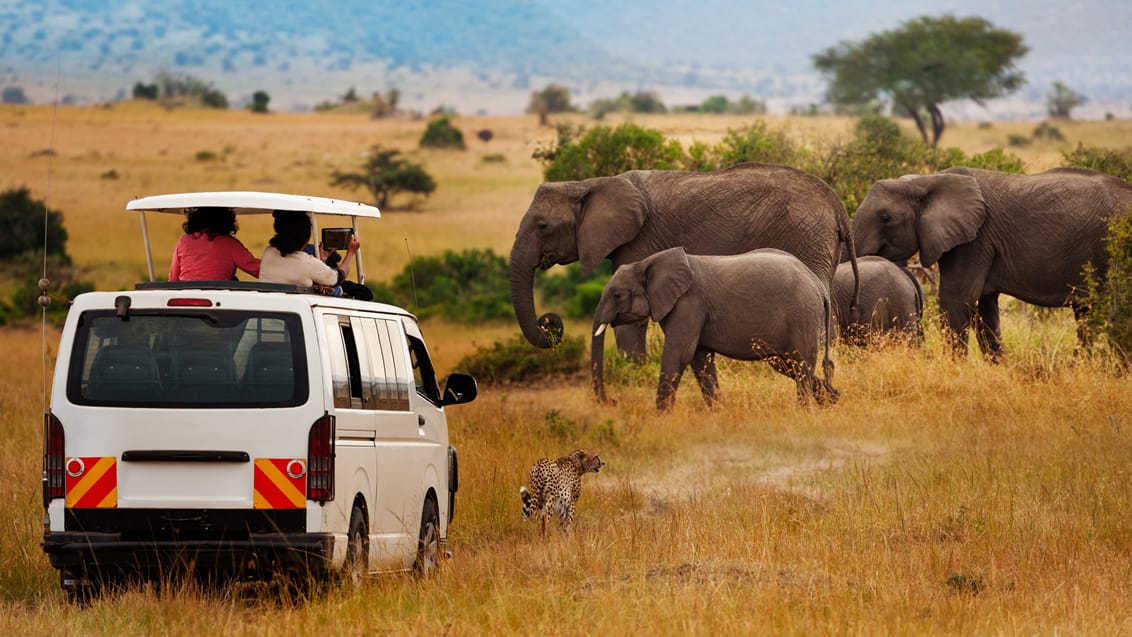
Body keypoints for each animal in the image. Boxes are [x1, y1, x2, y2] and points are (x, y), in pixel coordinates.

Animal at [507, 161, 855, 362]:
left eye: (542, 226)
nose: (551, 321)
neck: (589, 183)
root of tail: (836, 205)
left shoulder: (639, 241)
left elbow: (632, 320)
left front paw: (633, 375)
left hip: (806, 237)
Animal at [588, 246, 837, 411]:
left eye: (617, 295)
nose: (612, 401)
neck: (647, 262)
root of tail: (818, 285)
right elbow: (700, 359)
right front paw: (717, 412)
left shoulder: (689, 303)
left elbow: (679, 354)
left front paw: (660, 417)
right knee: (789, 365)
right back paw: (832, 400)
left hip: (801, 314)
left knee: (800, 363)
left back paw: (805, 411)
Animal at [851, 167, 1132, 359]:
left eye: (884, 217)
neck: (926, 181)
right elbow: (984, 309)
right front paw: (1001, 370)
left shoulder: (974, 240)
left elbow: (956, 300)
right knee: (1086, 314)